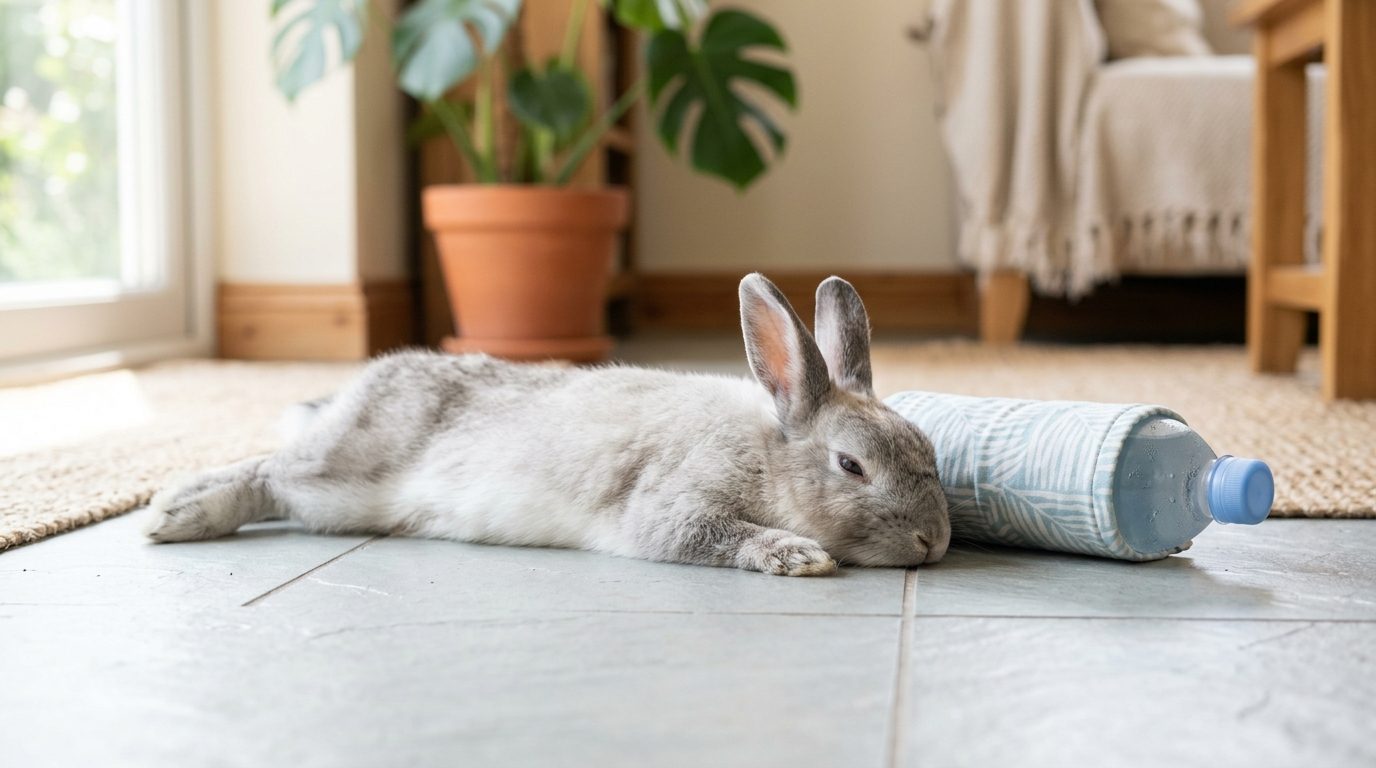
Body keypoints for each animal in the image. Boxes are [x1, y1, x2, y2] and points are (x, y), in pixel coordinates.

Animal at [144, 274, 950, 576]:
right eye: (851, 466)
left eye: (928, 452)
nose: (934, 542)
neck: (769, 451)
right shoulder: (672, 506)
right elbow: (707, 534)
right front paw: (798, 556)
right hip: (340, 477)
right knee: (269, 471)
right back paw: (175, 513)